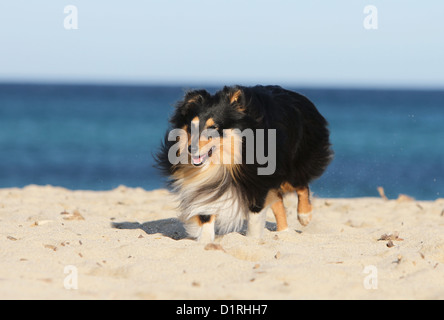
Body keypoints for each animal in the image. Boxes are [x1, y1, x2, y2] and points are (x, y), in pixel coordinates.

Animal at [157, 86, 332, 241]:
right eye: (191, 127)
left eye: (213, 127)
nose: (190, 149)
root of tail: (298, 96)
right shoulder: (204, 183)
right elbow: (206, 213)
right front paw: (205, 243)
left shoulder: (257, 178)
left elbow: (255, 215)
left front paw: (252, 241)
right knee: (278, 200)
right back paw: (284, 232)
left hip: (292, 162)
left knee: (301, 184)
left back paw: (304, 216)